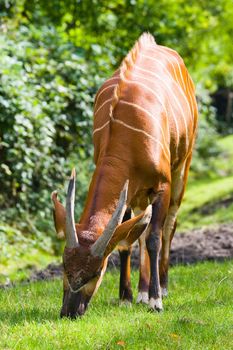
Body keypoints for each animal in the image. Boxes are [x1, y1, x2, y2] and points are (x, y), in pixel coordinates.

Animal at [52, 32, 198, 318]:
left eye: (96, 271)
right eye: (64, 266)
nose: (70, 312)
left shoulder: (161, 186)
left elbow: (153, 237)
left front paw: (155, 301)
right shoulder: (129, 192)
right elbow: (126, 242)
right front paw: (127, 297)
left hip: (182, 168)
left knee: (169, 225)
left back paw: (162, 287)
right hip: (140, 195)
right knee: (139, 232)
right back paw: (141, 292)